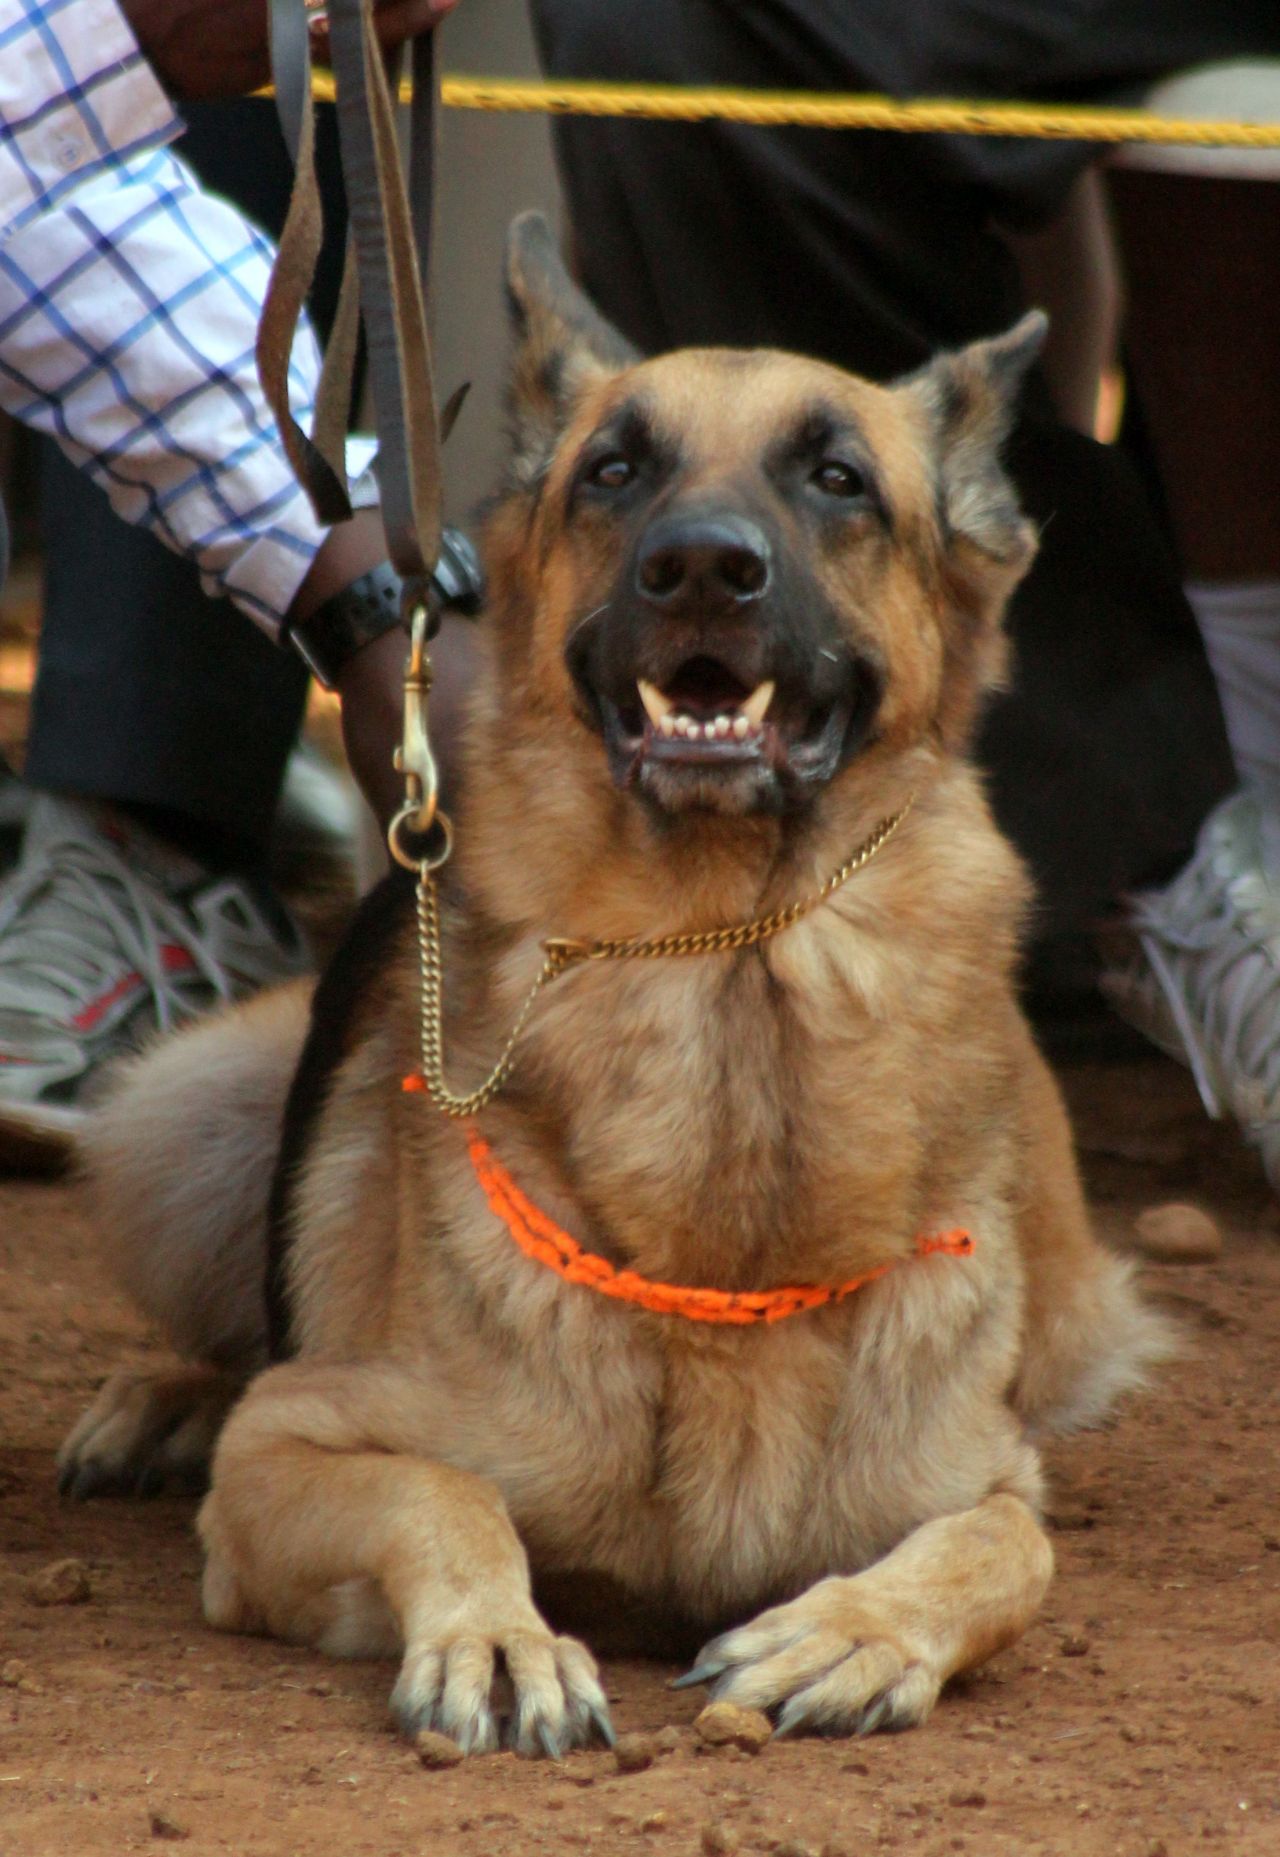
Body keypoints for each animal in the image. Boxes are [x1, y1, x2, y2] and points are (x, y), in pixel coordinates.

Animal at [59, 217, 1166, 1753]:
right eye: (614, 471)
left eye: (837, 479)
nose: (700, 566)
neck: (728, 960)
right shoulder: (285, 1458)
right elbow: (441, 1490)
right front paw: (498, 1636)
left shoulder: (984, 1479)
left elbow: (1004, 1550)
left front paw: (857, 1630)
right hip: (184, 1107)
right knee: (231, 1342)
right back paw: (166, 1403)